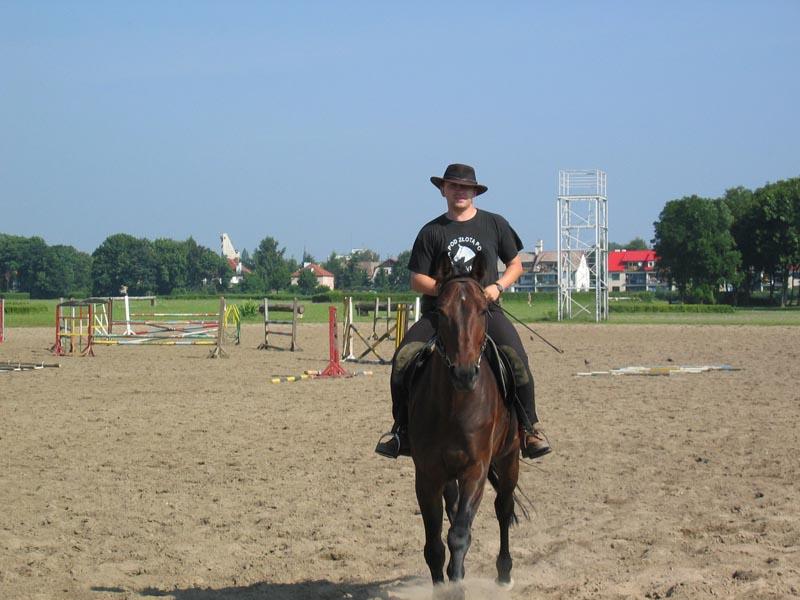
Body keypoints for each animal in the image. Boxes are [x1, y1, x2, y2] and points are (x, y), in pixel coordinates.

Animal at [410, 253, 520, 596]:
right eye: (441, 312)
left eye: (483, 309)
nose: (464, 373)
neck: (454, 405)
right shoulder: (428, 474)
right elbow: (434, 544)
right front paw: (441, 586)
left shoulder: (476, 470)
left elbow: (459, 535)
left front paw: (457, 586)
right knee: (453, 507)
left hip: (509, 457)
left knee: (503, 508)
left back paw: (504, 573)